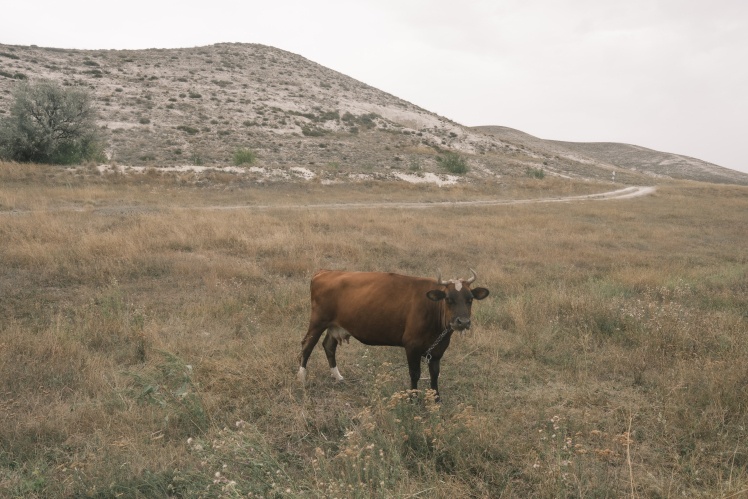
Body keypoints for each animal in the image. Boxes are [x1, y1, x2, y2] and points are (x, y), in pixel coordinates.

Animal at [298, 268, 490, 400]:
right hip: (318, 321)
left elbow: (435, 373)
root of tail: (325, 272)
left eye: (470, 299)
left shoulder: (437, 350)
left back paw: (337, 376)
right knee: (307, 346)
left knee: (328, 346)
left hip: (335, 326)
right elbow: (415, 373)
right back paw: (301, 377)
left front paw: (436, 399)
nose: (462, 322)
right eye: (448, 299)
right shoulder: (411, 346)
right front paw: (413, 398)